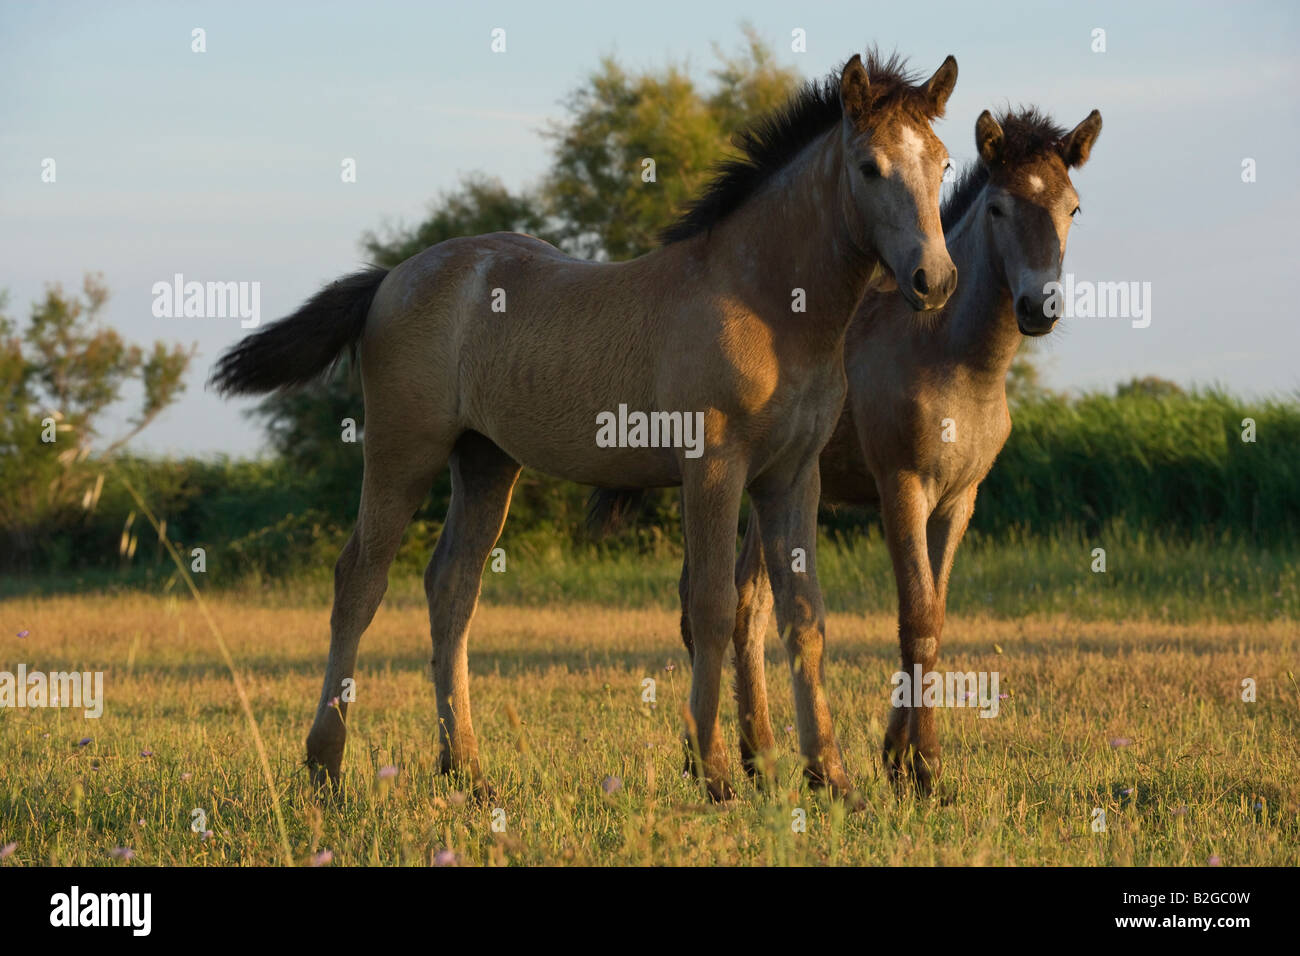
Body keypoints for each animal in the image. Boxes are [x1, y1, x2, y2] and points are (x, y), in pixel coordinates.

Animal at [212, 51, 960, 803]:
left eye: (944, 163)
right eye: (868, 167)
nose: (934, 280)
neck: (768, 304)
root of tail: (391, 276)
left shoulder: (792, 477)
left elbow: (804, 616)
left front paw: (832, 779)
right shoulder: (713, 465)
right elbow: (713, 607)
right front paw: (715, 773)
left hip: (485, 461)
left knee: (452, 587)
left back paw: (468, 771)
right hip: (404, 449)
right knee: (360, 581)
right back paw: (325, 767)